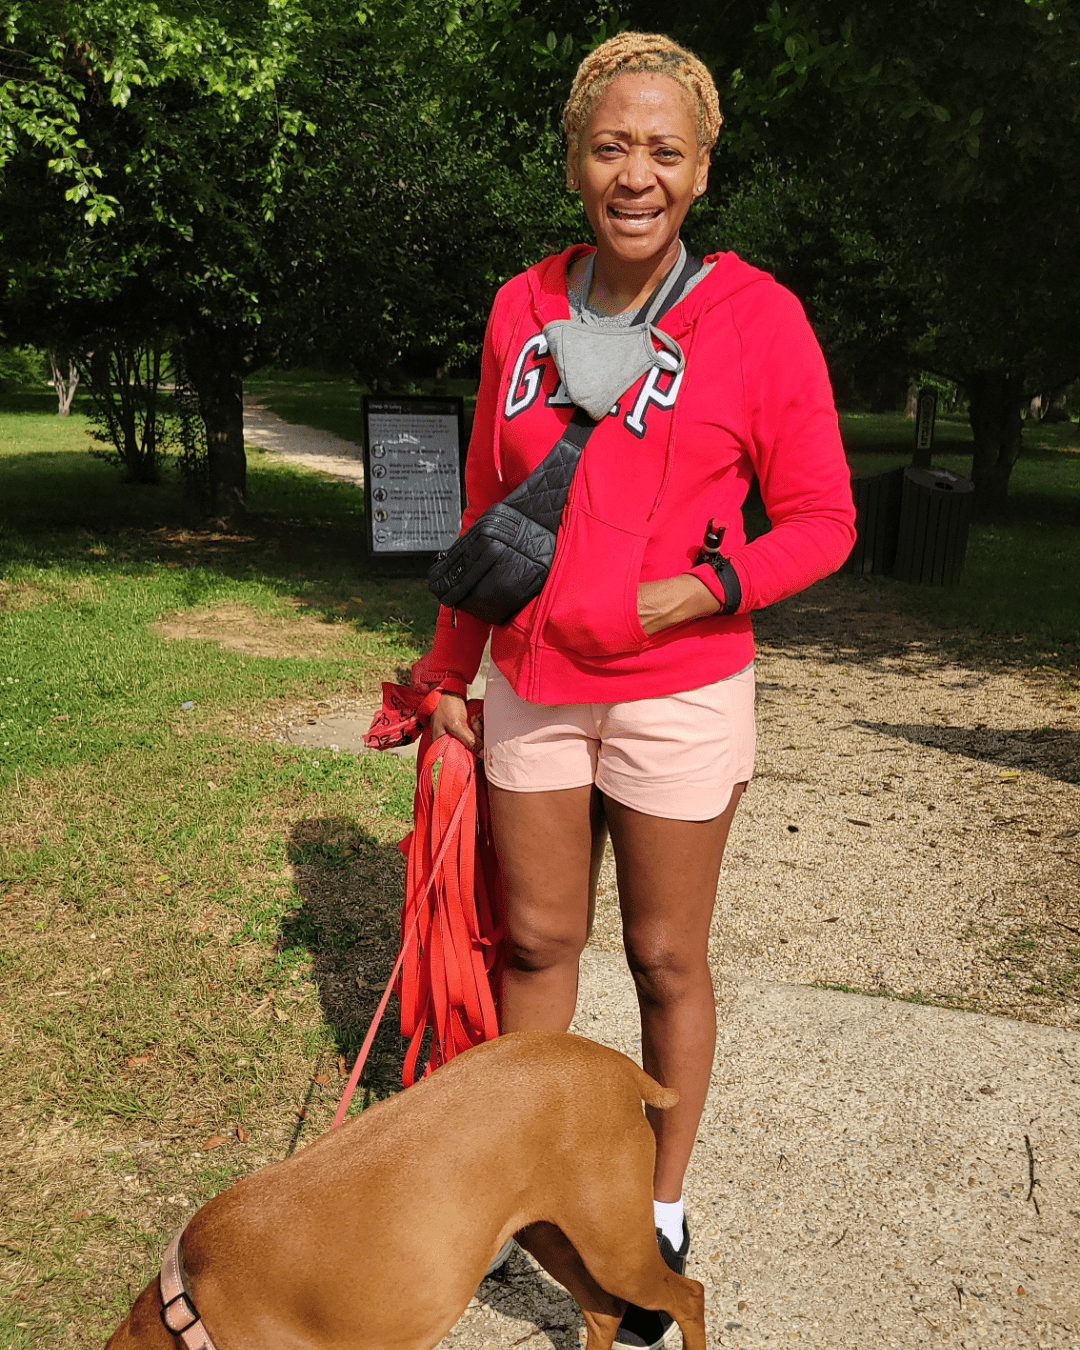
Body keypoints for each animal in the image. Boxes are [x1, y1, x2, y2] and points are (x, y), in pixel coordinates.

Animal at [105, 1031, 702, 1350]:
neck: (191, 1312)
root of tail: (617, 1063)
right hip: (549, 1235)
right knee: (603, 1310)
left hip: (615, 1250)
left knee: (688, 1296)